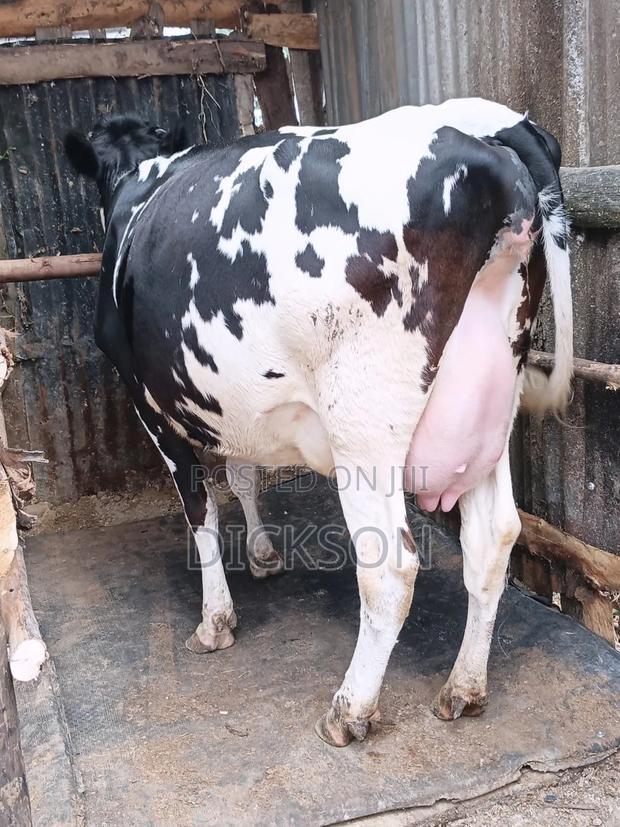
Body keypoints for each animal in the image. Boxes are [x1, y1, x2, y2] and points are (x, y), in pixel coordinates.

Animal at [64, 97, 572, 747]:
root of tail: (493, 132)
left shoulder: (149, 402)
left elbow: (200, 510)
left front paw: (215, 620)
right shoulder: (234, 403)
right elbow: (243, 475)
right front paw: (262, 556)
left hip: (364, 425)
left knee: (391, 568)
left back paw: (350, 709)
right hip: (489, 405)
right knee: (494, 539)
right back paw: (463, 688)